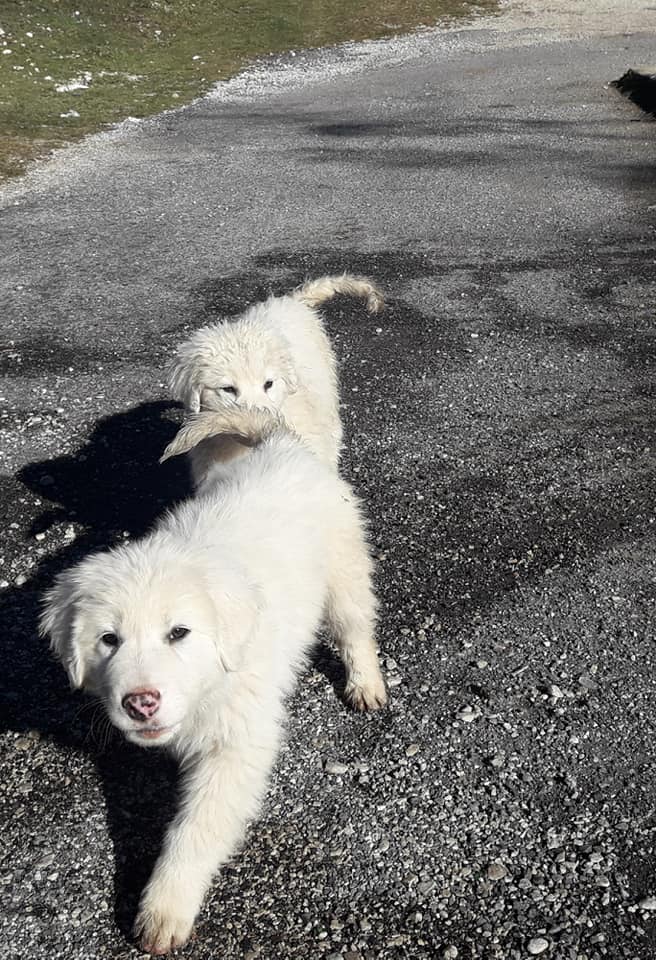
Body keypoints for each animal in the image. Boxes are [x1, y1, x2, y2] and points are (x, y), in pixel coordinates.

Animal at [41, 404, 386, 952]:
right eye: (108, 640)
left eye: (178, 633)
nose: (141, 702)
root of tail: (279, 445)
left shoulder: (236, 745)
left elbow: (196, 829)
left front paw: (164, 906)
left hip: (343, 571)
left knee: (355, 626)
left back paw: (366, 683)